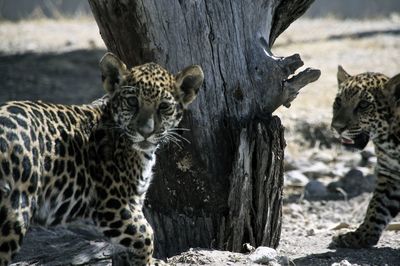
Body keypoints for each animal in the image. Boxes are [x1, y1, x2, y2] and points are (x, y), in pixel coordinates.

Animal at [0, 51, 203, 264]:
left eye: (163, 106)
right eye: (132, 101)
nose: (146, 132)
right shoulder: (114, 205)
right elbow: (146, 235)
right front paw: (147, 262)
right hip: (15, 210)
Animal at [330, 65, 400, 248]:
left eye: (363, 105)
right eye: (338, 101)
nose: (337, 127)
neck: (388, 140)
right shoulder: (391, 174)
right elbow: (377, 206)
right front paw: (361, 235)